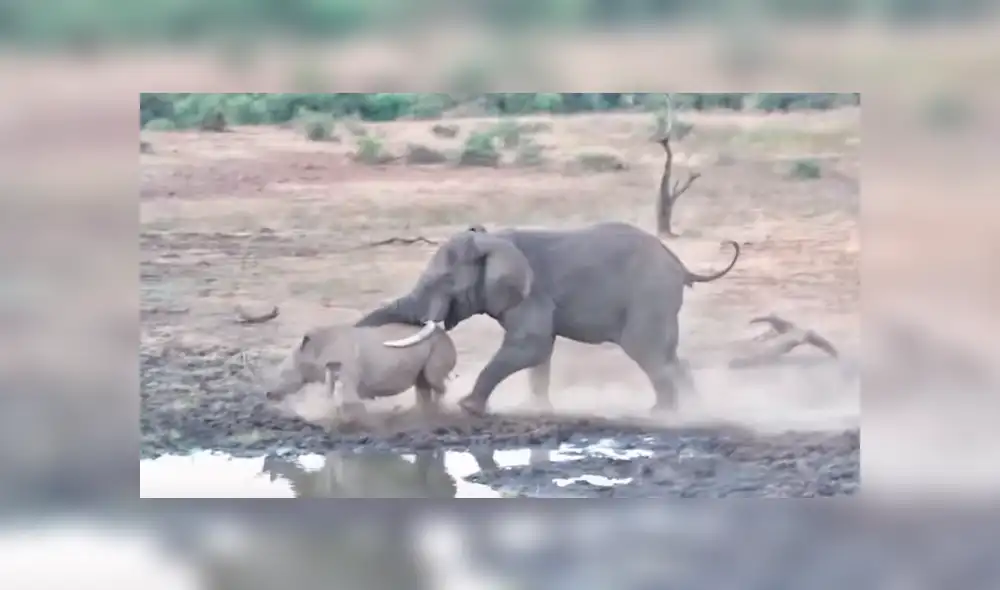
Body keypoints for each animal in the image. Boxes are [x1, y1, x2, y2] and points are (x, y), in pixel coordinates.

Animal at [263, 322, 456, 418]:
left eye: (283, 374)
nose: (268, 394)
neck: (314, 350)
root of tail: (445, 335)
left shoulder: (346, 369)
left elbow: (350, 401)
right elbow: (332, 397)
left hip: (439, 344)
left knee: (432, 379)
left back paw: (439, 412)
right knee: (423, 383)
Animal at [355, 221, 741, 417]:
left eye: (444, 281)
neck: (493, 239)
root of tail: (680, 265)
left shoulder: (531, 291)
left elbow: (531, 345)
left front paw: (468, 407)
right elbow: (540, 352)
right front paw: (536, 408)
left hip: (650, 295)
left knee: (646, 351)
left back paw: (662, 414)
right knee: (668, 355)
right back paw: (690, 410)